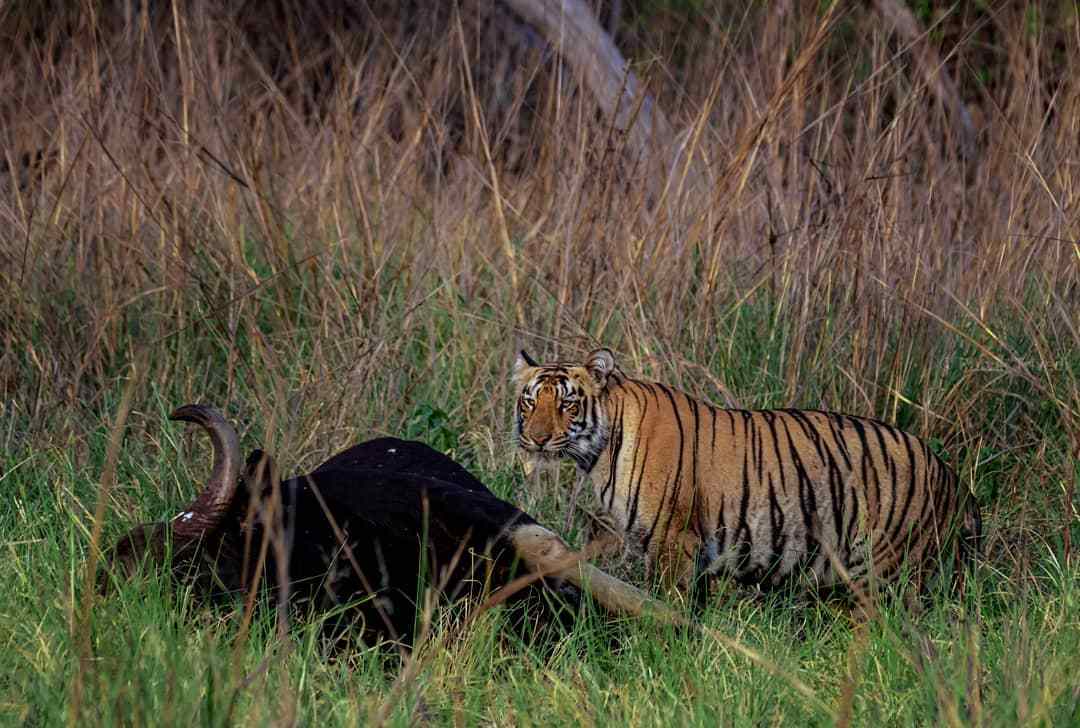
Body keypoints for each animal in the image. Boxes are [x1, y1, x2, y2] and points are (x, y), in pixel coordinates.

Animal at [509, 347, 984, 596]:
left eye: (567, 404)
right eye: (530, 401)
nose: (536, 438)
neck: (599, 451)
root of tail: (951, 474)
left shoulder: (673, 538)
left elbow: (665, 600)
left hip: (887, 571)